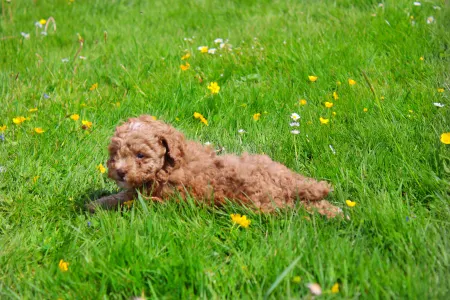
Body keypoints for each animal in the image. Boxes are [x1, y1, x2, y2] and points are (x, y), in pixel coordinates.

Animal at [87, 115, 342, 218]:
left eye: (140, 155)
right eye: (115, 154)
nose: (120, 172)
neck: (168, 165)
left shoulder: (153, 197)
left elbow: (122, 199)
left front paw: (94, 205)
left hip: (268, 203)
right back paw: (337, 210)